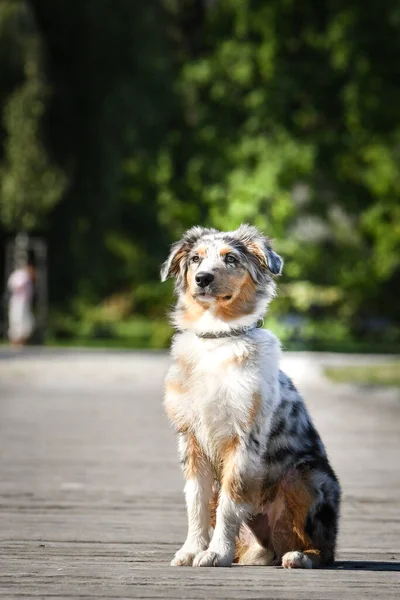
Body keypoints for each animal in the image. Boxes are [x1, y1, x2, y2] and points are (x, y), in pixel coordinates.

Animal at [161, 224, 340, 568]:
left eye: (231, 258)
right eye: (195, 259)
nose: (203, 278)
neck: (217, 339)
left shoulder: (243, 438)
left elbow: (230, 502)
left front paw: (215, 553)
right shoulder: (190, 439)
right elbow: (196, 502)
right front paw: (191, 550)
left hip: (306, 476)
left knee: (324, 549)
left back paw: (300, 557)